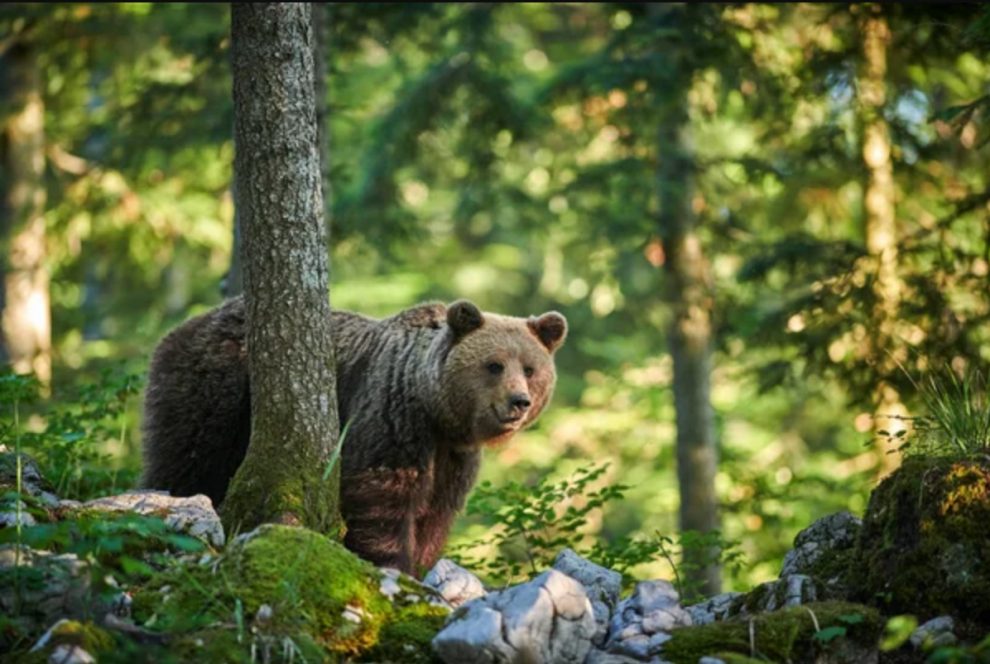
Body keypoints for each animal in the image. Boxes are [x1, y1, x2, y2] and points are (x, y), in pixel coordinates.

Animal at [143, 294, 568, 572]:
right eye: (494, 365)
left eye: (530, 368)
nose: (519, 401)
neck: (436, 411)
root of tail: (188, 324)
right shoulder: (391, 418)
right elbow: (382, 498)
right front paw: (391, 562)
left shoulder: (454, 456)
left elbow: (436, 512)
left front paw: (422, 563)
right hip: (215, 392)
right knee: (189, 458)